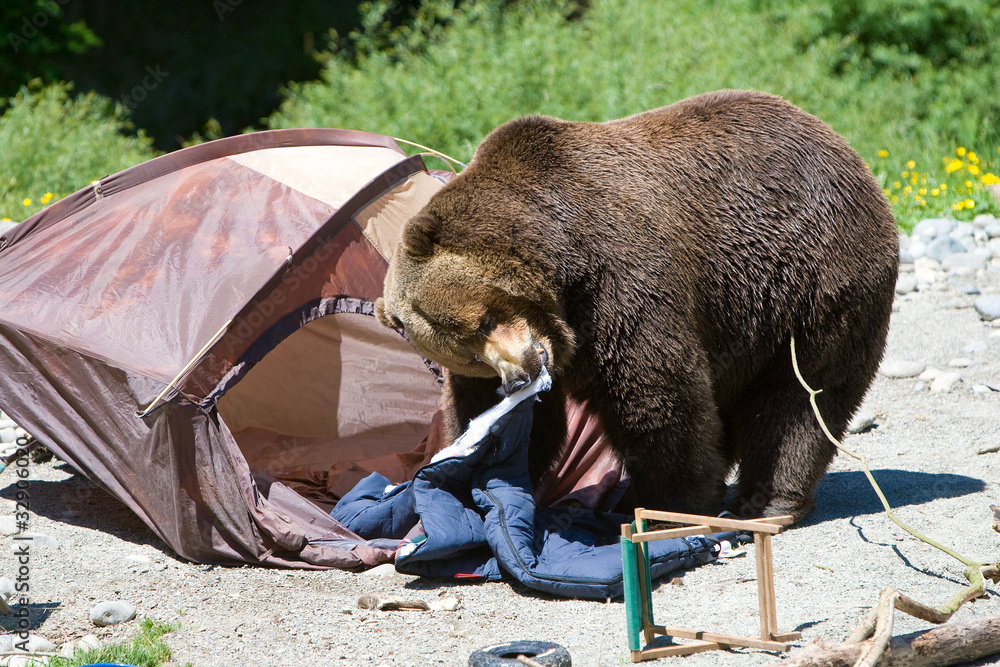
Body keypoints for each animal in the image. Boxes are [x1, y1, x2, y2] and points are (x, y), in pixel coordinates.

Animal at [375, 89, 899, 521]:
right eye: (466, 352)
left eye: (484, 319)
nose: (519, 375)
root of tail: (842, 146)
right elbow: (500, 416)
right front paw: (463, 478)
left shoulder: (619, 276)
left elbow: (655, 392)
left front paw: (670, 501)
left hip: (811, 276)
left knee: (802, 392)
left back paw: (769, 499)